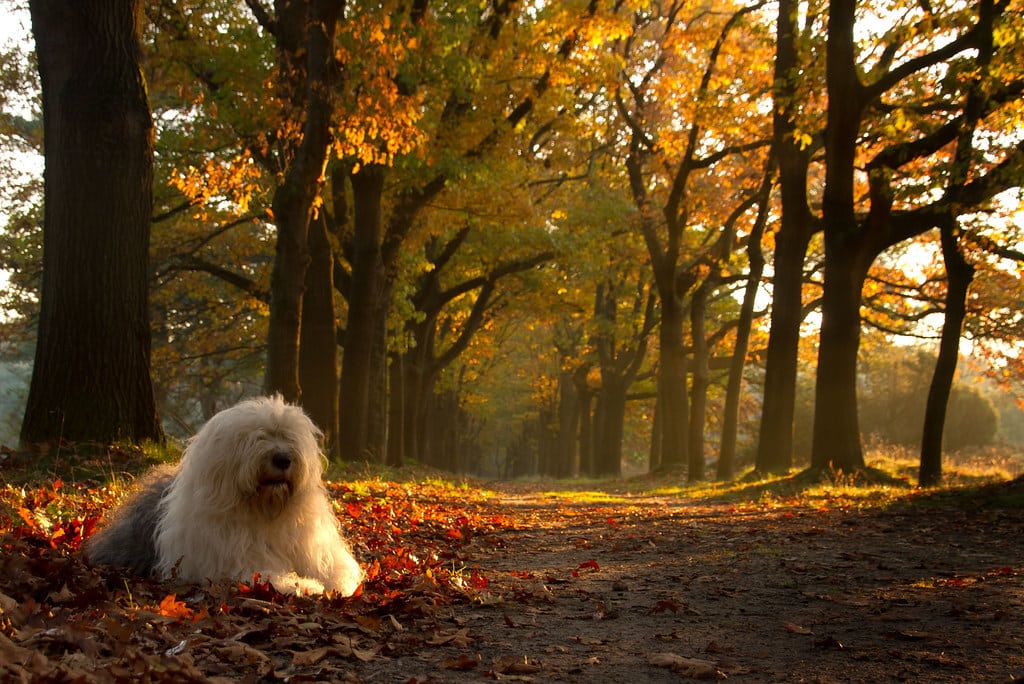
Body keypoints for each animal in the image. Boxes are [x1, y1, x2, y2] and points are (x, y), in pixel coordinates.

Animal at [86, 393, 362, 593]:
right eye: (257, 438)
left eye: (289, 437)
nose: (283, 458)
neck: (264, 511)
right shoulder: (233, 560)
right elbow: (266, 574)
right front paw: (303, 585)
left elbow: (338, 570)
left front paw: (338, 583)